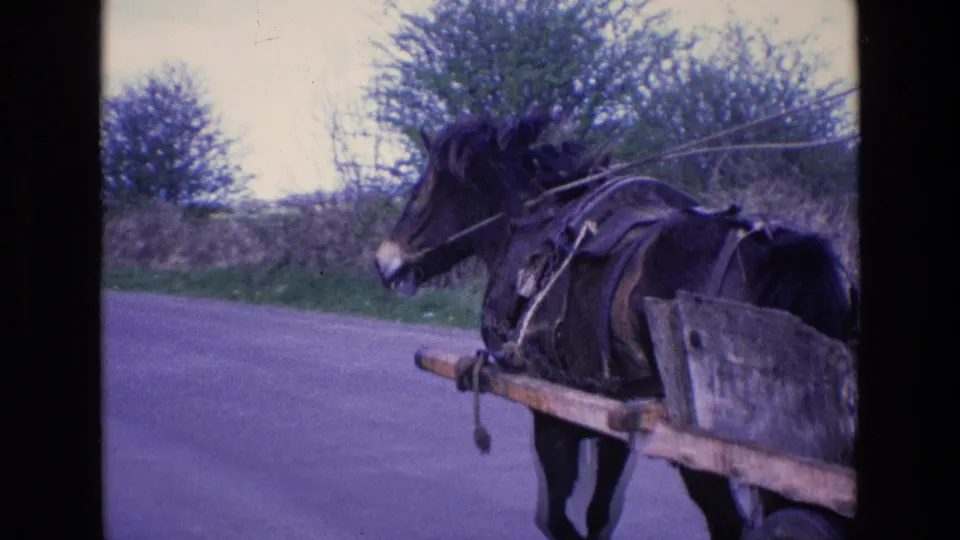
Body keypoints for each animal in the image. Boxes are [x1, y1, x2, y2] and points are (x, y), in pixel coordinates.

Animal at [373, 111, 859, 540]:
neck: (532, 229)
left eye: (418, 192)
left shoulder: (552, 409)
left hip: (703, 453)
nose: (383, 261)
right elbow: (599, 513)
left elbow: (557, 518)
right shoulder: (614, 409)